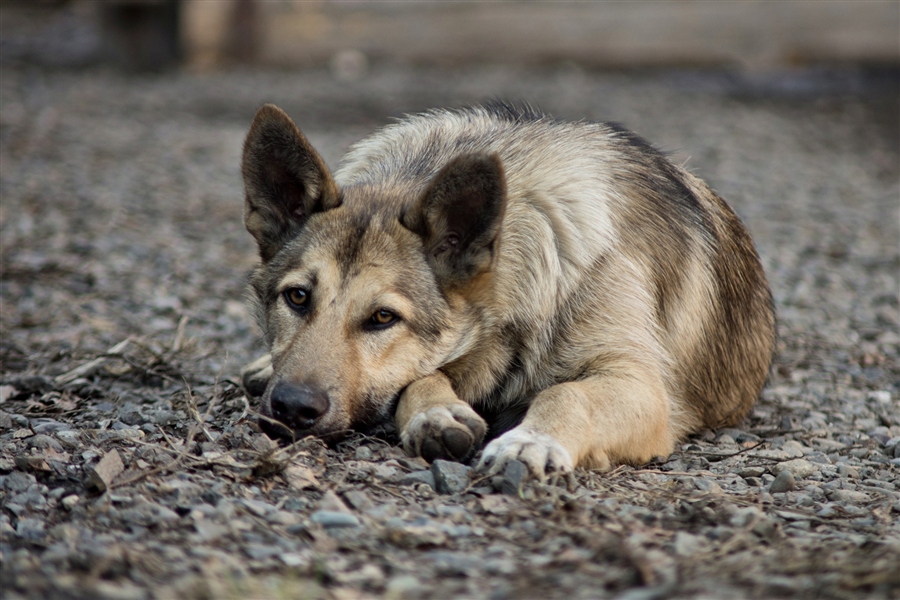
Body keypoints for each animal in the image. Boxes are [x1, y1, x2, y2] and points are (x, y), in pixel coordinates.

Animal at [237, 101, 772, 480]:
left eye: (383, 318)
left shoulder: (638, 384)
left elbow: (565, 394)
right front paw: (436, 413)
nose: (291, 408)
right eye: (297, 297)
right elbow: (421, 377)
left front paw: (530, 439)